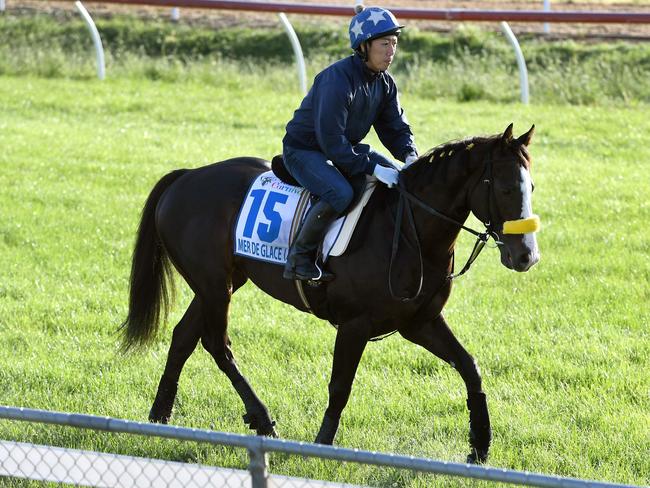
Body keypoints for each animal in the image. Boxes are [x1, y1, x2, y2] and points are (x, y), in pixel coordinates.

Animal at [120, 123, 536, 466]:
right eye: (505, 188)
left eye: (530, 187)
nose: (526, 255)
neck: (410, 231)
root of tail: (186, 177)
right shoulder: (355, 325)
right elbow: (340, 385)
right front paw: (323, 444)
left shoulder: (420, 322)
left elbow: (469, 367)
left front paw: (480, 444)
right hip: (213, 285)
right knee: (216, 343)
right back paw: (262, 419)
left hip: (220, 283)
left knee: (184, 337)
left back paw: (160, 415)